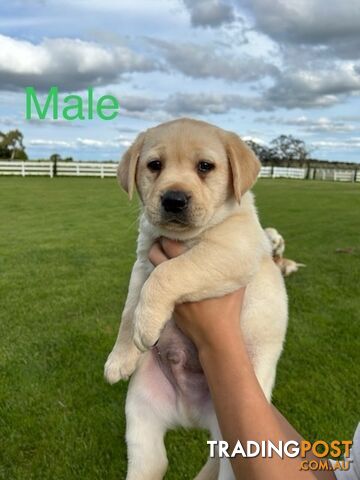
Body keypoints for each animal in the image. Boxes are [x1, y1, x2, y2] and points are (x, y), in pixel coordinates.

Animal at [104, 117, 286, 480]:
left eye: (205, 167)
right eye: (154, 166)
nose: (174, 199)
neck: (185, 237)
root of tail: (190, 415)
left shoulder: (230, 251)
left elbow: (169, 273)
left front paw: (147, 326)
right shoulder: (142, 262)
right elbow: (129, 309)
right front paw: (120, 357)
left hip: (237, 444)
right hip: (141, 411)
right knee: (151, 462)